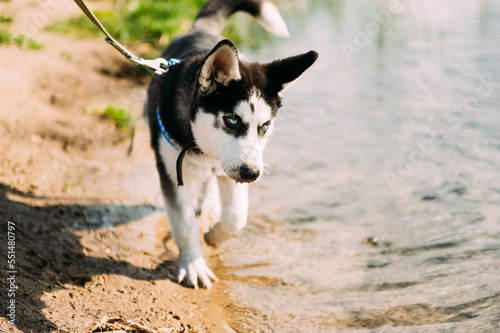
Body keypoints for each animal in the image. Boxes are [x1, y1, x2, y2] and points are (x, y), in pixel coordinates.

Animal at [146, 0, 316, 286]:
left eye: (265, 126)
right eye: (232, 120)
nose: (252, 174)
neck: (203, 147)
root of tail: (201, 29)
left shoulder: (232, 170)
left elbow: (236, 216)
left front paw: (214, 236)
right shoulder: (169, 169)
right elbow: (184, 222)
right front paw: (193, 265)